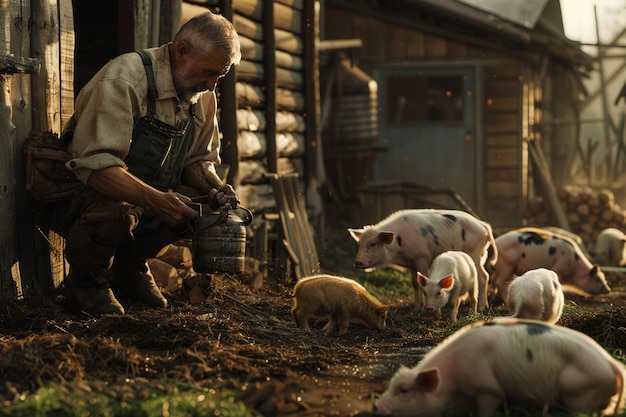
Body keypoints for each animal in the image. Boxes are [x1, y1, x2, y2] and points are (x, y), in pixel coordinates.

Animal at [348, 208, 494, 312]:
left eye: (373, 244)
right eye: (359, 244)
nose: (357, 262)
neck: (399, 247)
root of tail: (482, 224)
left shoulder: (422, 258)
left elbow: (423, 280)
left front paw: (423, 309)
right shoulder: (412, 264)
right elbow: (415, 284)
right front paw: (415, 309)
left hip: (475, 253)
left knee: (483, 276)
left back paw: (482, 308)